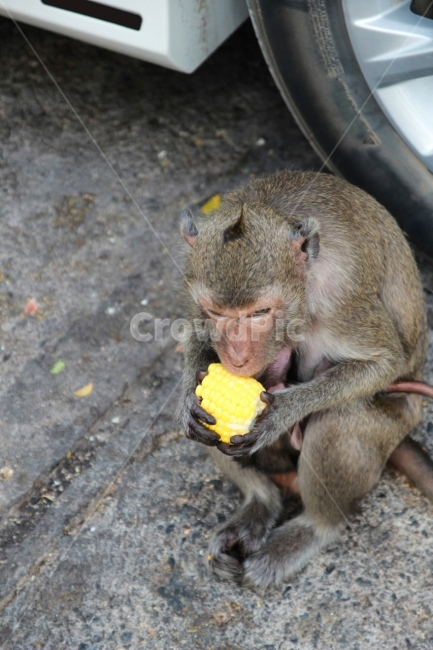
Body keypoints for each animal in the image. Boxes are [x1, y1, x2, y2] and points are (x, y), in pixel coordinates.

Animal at [176, 170, 433, 589]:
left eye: (259, 312)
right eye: (216, 311)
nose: (237, 356)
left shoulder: (342, 294)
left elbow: (383, 362)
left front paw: (281, 413)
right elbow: (196, 339)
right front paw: (187, 401)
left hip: (392, 423)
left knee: (339, 420)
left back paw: (314, 528)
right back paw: (260, 503)